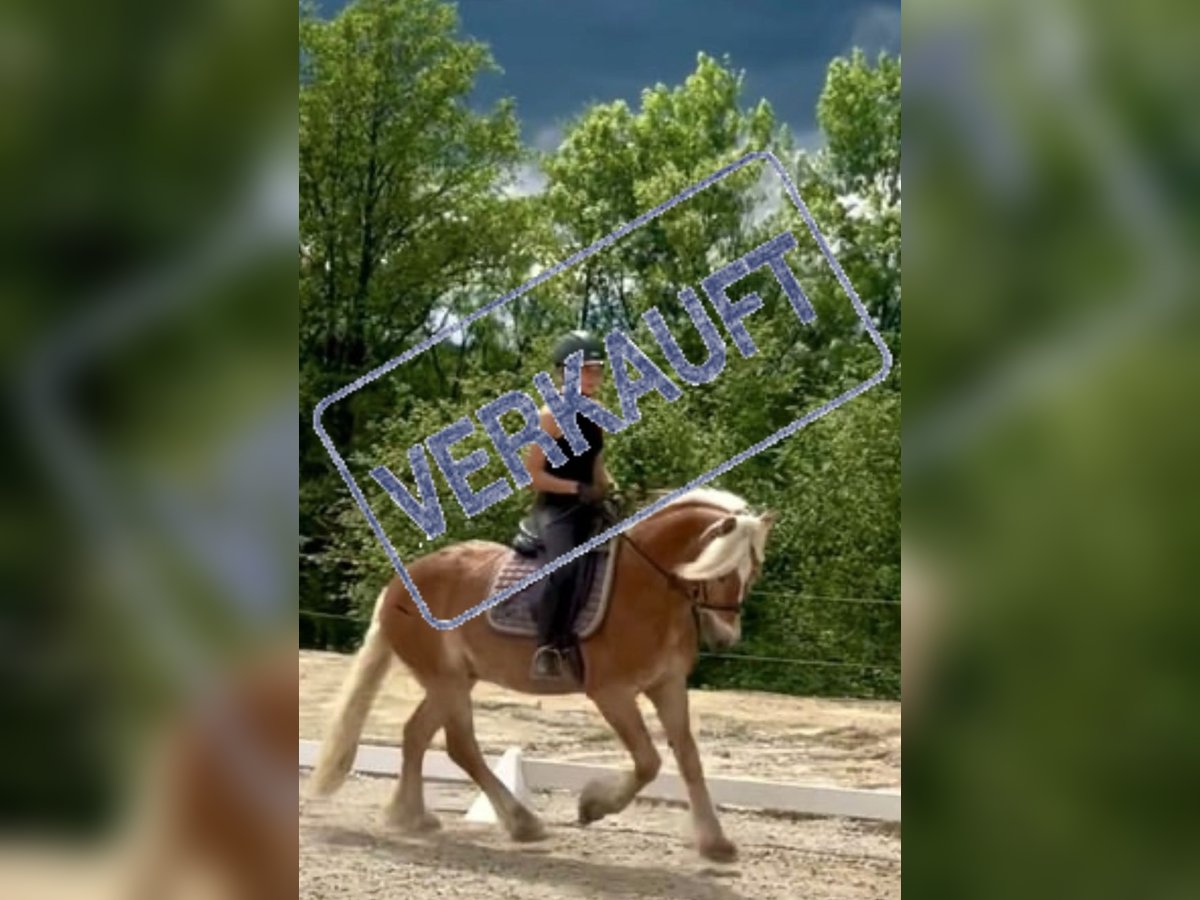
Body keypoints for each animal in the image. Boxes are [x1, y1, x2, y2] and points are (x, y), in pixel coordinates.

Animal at [309, 489, 777, 864]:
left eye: (752, 573)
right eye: (719, 571)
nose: (725, 637)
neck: (646, 586)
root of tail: (397, 585)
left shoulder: (668, 686)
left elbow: (689, 760)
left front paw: (715, 844)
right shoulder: (611, 693)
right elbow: (649, 761)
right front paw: (592, 807)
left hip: (455, 679)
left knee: (416, 734)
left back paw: (411, 817)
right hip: (447, 681)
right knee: (460, 745)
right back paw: (521, 823)